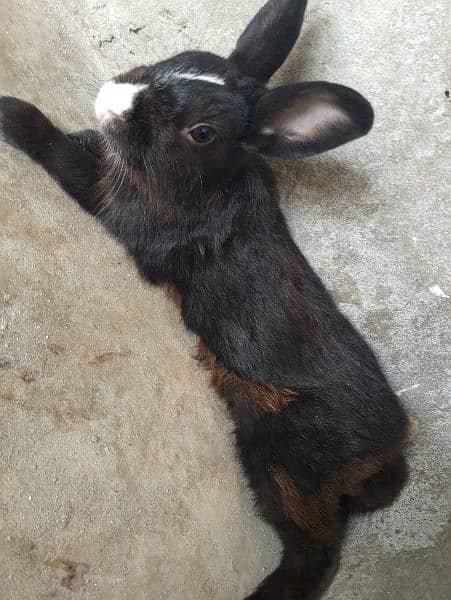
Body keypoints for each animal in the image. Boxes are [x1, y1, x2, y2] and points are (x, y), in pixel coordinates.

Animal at [0, 2, 412, 596]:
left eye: (202, 132)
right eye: (178, 59)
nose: (116, 99)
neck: (206, 188)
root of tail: (391, 447)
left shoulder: (112, 199)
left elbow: (59, 151)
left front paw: (10, 112)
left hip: (286, 465)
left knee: (317, 550)